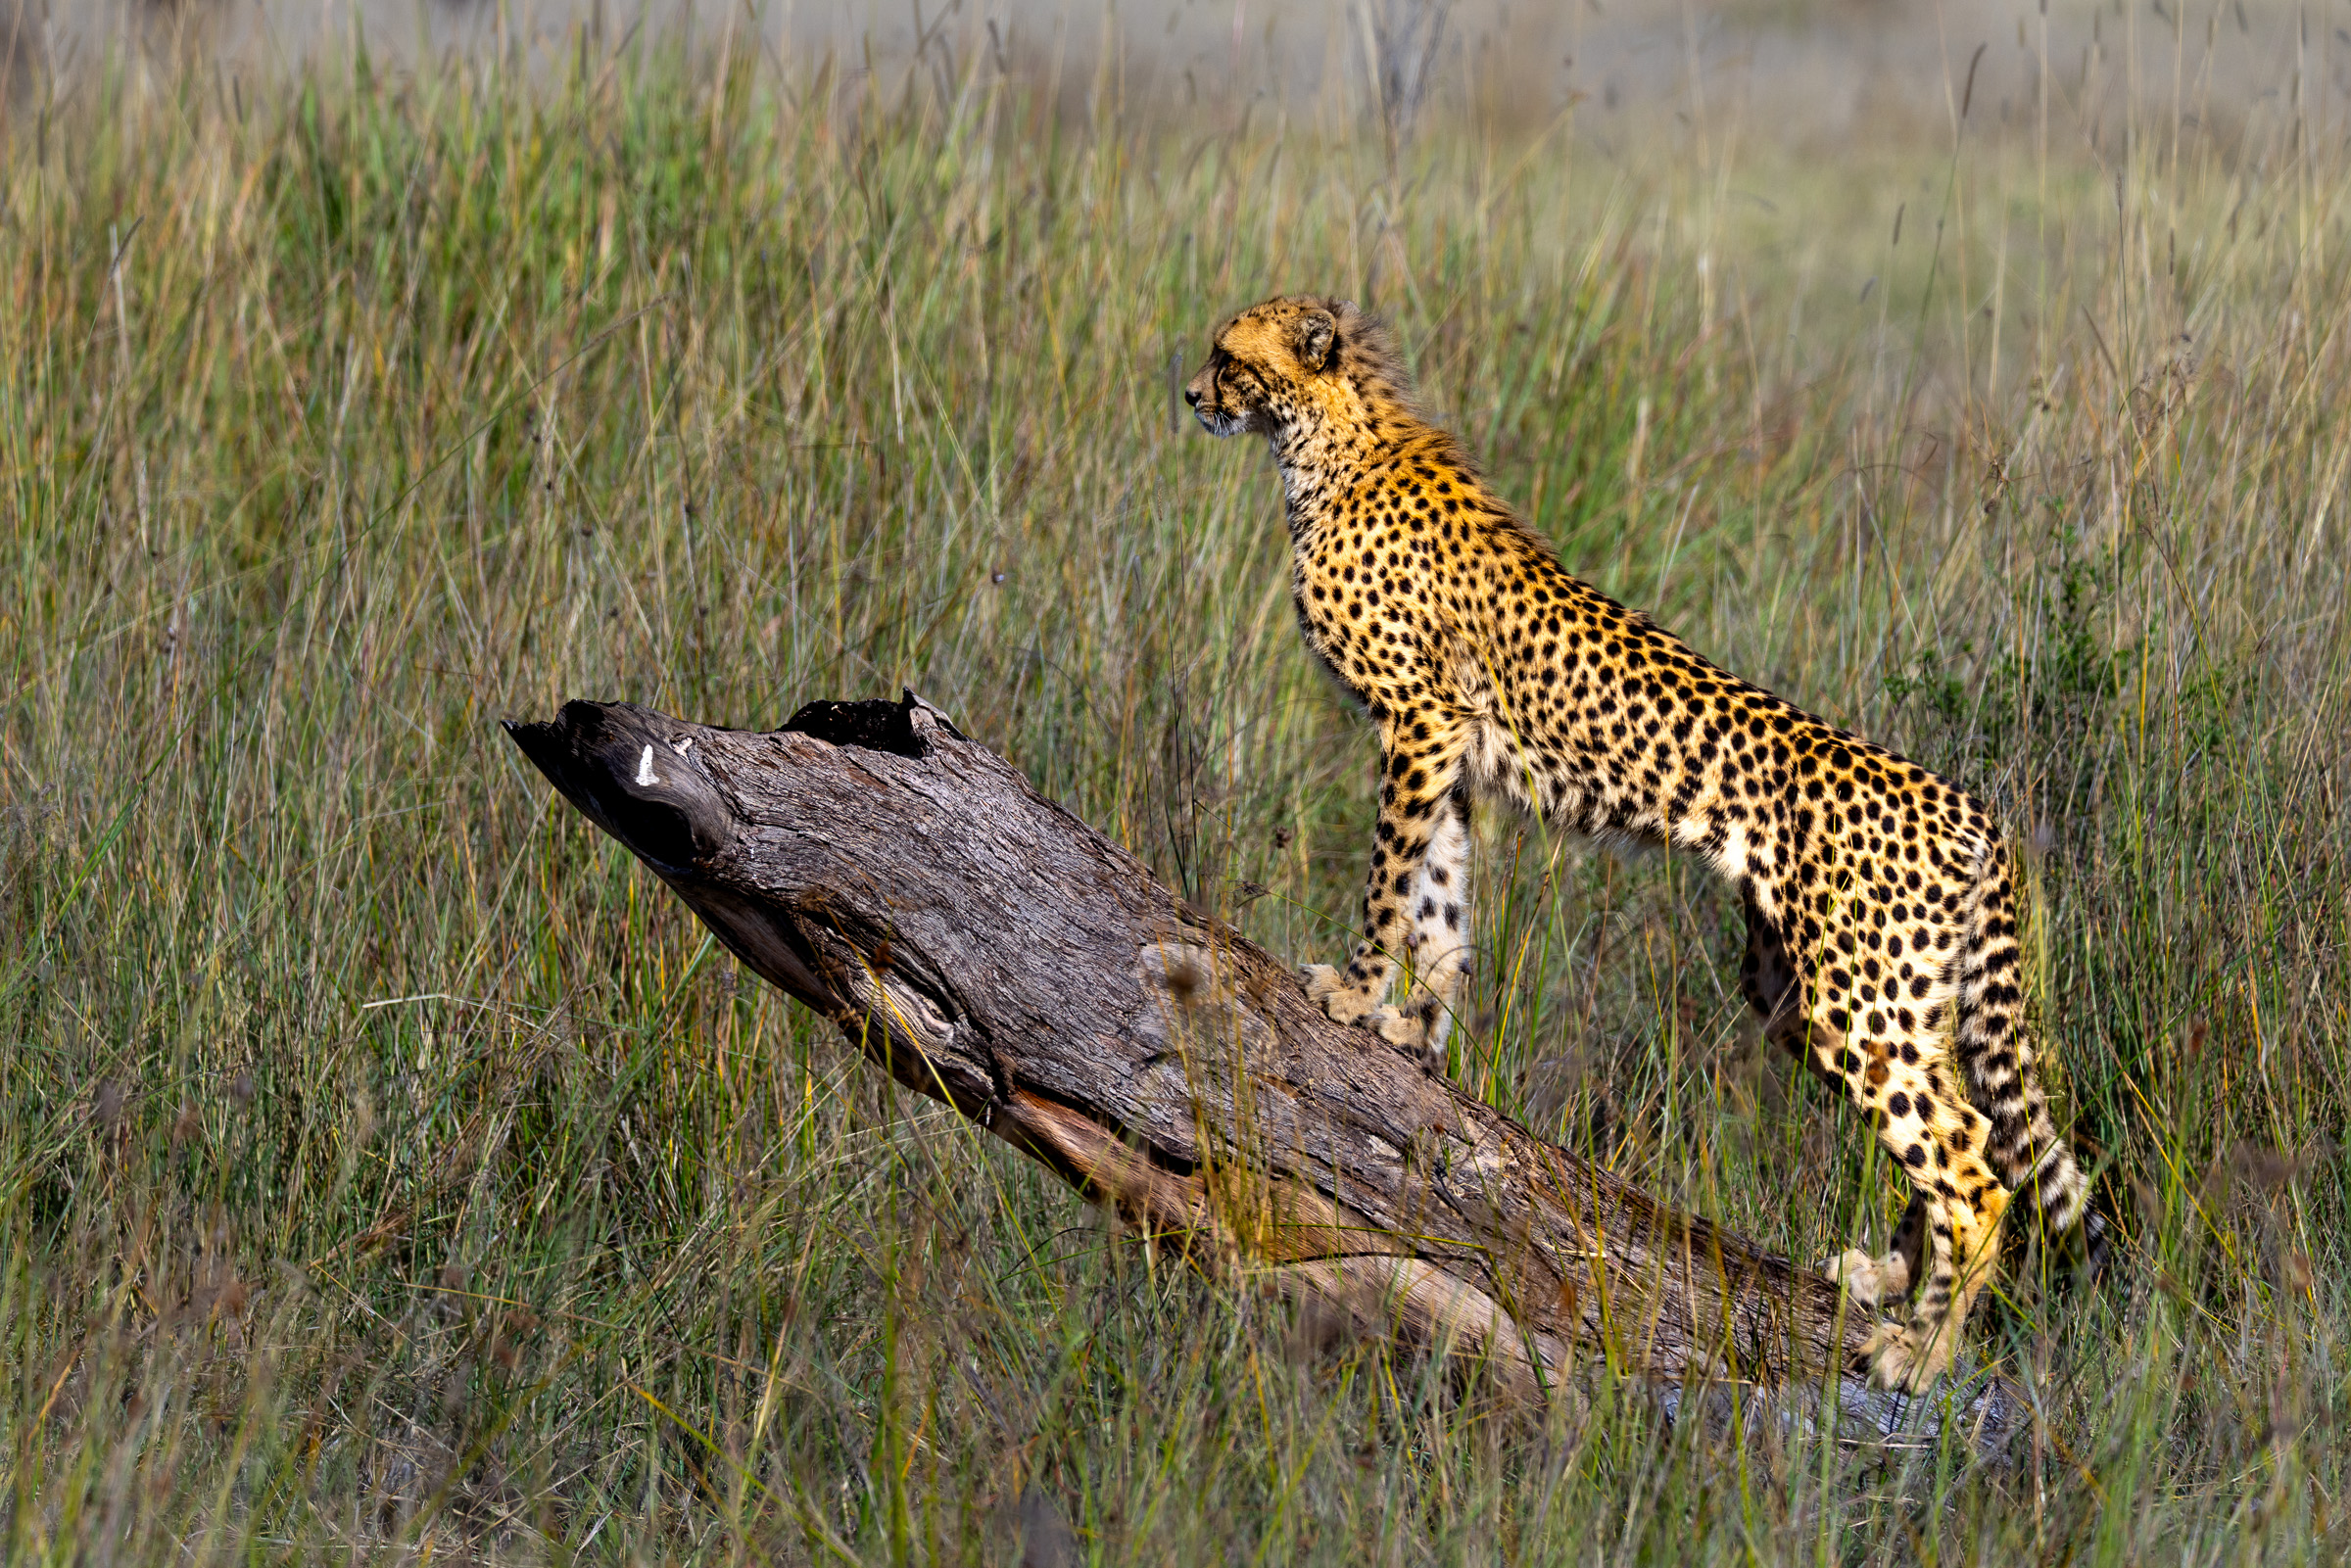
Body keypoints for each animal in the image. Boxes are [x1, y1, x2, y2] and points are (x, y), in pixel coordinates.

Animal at [1184, 293, 2093, 1390]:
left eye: (1228, 358)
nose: (1188, 395)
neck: (1329, 441)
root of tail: (1966, 800)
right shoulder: (1449, 744)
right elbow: (1440, 898)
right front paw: (1414, 1027)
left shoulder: (1419, 720)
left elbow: (1389, 881)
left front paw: (1354, 995)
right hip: (1824, 992)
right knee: (1954, 1129)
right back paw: (1885, 1278)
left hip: (1859, 997)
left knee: (1974, 1165)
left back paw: (1921, 1350)